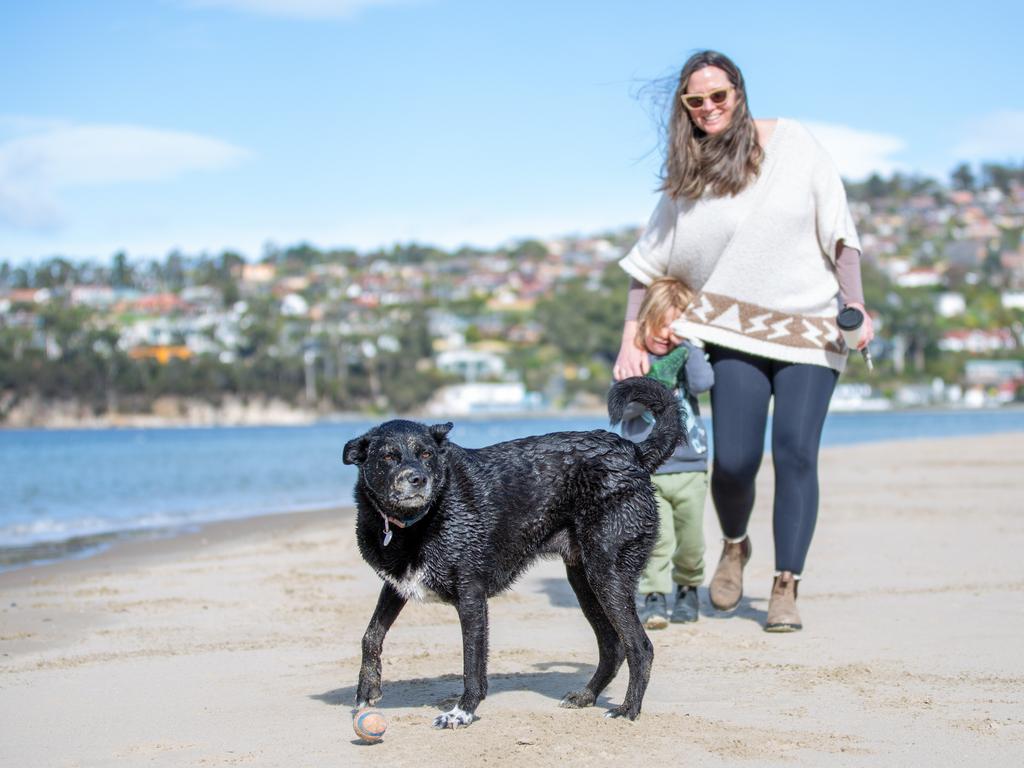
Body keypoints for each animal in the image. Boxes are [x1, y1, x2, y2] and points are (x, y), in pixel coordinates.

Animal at [339, 376, 684, 729]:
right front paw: (367, 690)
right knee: (613, 645)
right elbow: (371, 635)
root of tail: (633, 453)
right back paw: (587, 695)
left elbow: (472, 663)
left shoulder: (472, 598)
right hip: (584, 581)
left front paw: (462, 712)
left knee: (639, 646)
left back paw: (628, 709)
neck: (417, 520)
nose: (418, 479)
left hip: (607, 575)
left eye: (426, 454)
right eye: (389, 457)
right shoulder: (396, 585)